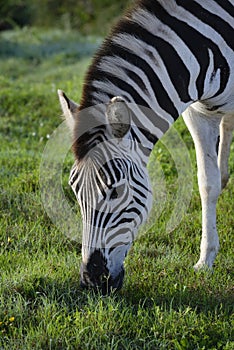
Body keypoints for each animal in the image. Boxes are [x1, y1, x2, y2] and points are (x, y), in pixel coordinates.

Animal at [57, 0, 233, 296]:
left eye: (115, 191)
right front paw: (205, 260)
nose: (92, 282)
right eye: (75, 191)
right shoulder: (199, 112)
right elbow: (207, 184)